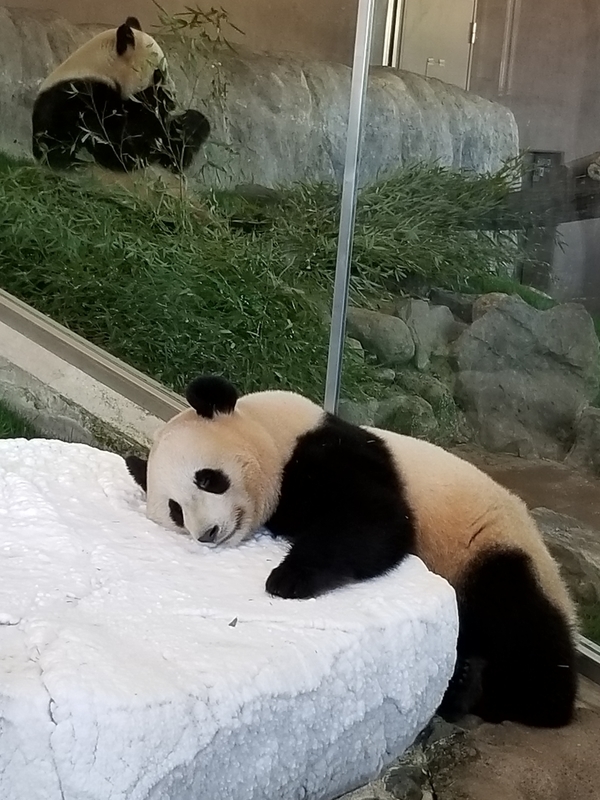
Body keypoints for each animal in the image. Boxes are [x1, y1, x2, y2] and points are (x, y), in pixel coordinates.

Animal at [32, 17, 210, 173]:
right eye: (159, 73)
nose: (173, 99)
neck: (100, 69)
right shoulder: (78, 100)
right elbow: (122, 146)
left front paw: (190, 124)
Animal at [125, 375, 578, 729]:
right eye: (175, 510)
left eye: (207, 479)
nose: (208, 533)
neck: (273, 431)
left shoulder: (333, 451)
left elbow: (376, 518)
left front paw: (288, 578)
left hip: (495, 549)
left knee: (521, 626)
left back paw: (489, 689)